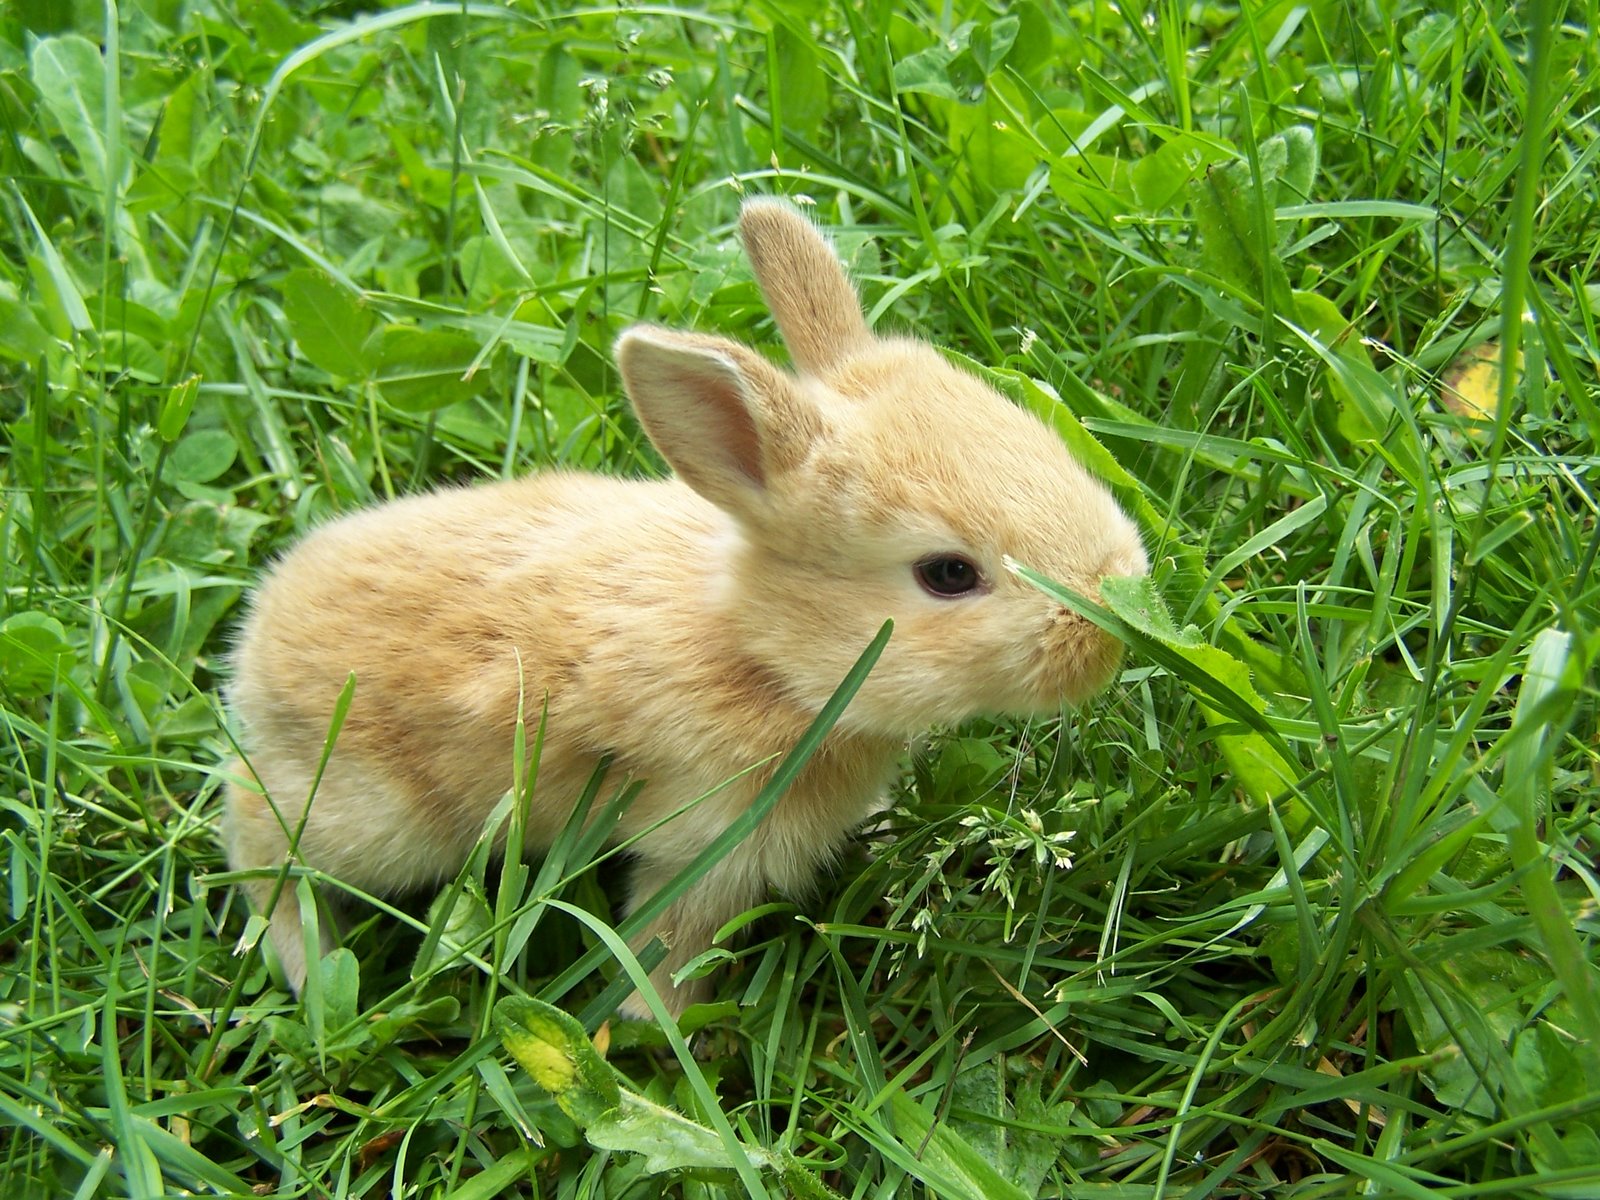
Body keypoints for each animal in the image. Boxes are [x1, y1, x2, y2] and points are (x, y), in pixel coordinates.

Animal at [222, 198, 1149, 1019]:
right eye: (949, 574)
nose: (1110, 619)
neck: (763, 654)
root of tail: (258, 637)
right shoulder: (703, 841)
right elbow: (672, 937)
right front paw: (657, 1026)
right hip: (373, 817)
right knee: (259, 845)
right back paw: (310, 970)